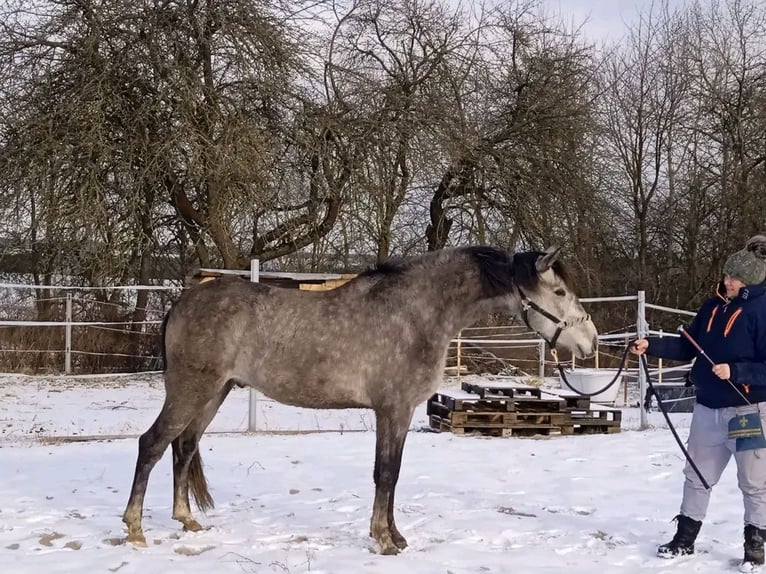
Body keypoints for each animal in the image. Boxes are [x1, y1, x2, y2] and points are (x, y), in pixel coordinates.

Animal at [122, 245, 598, 554]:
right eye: (559, 293)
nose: (590, 341)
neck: (414, 314)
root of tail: (183, 301)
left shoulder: (398, 414)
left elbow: (392, 473)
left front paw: (393, 535)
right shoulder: (394, 409)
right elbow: (386, 473)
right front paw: (385, 540)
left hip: (214, 393)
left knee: (183, 446)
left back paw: (187, 520)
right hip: (192, 390)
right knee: (152, 444)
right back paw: (135, 530)